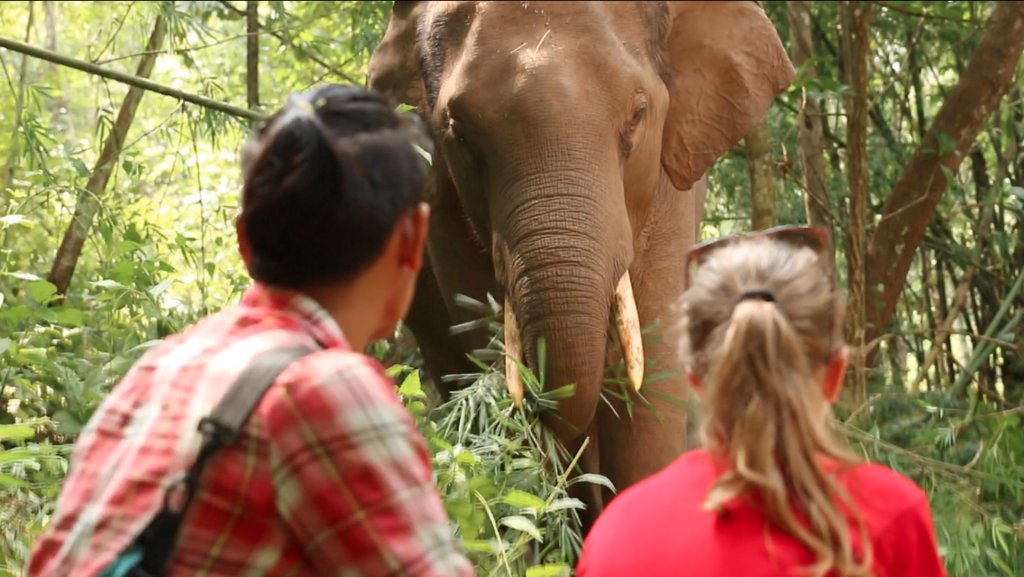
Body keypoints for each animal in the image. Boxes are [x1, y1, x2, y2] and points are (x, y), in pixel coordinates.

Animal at [368, 0, 795, 522]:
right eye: (459, 131)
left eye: (638, 114)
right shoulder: (445, 206)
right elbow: (488, 353)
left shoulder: (669, 194)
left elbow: (649, 384)